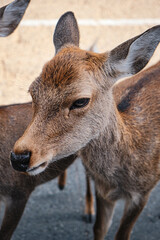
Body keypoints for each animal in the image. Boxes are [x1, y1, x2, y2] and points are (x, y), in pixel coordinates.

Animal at [10, 10, 160, 240]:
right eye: (32, 91)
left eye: (80, 101)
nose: (20, 157)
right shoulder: (103, 190)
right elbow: (99, 228)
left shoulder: (143, 193)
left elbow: (121, 234)